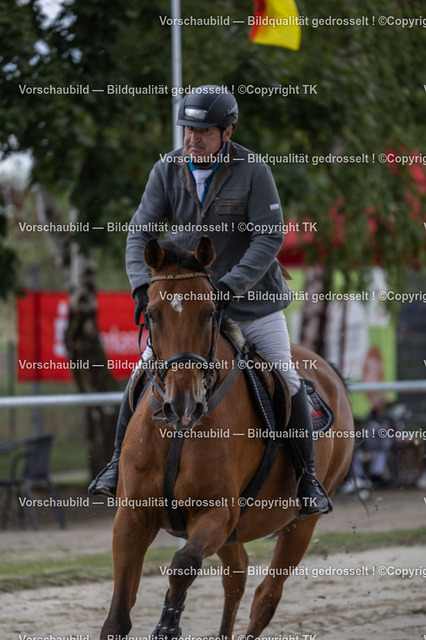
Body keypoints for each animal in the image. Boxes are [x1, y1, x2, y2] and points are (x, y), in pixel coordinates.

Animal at [100, 235, 354, 640]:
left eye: (209, 312)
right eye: (152, 313)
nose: (182, 402)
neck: (180, 431)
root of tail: (329, 371)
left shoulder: (217, 512)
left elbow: (183, 564)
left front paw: (168, 625)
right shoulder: (132, 516)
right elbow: (117, 618)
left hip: (299, 523)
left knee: (266, 596)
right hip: (236, 533)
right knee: (237, 576)